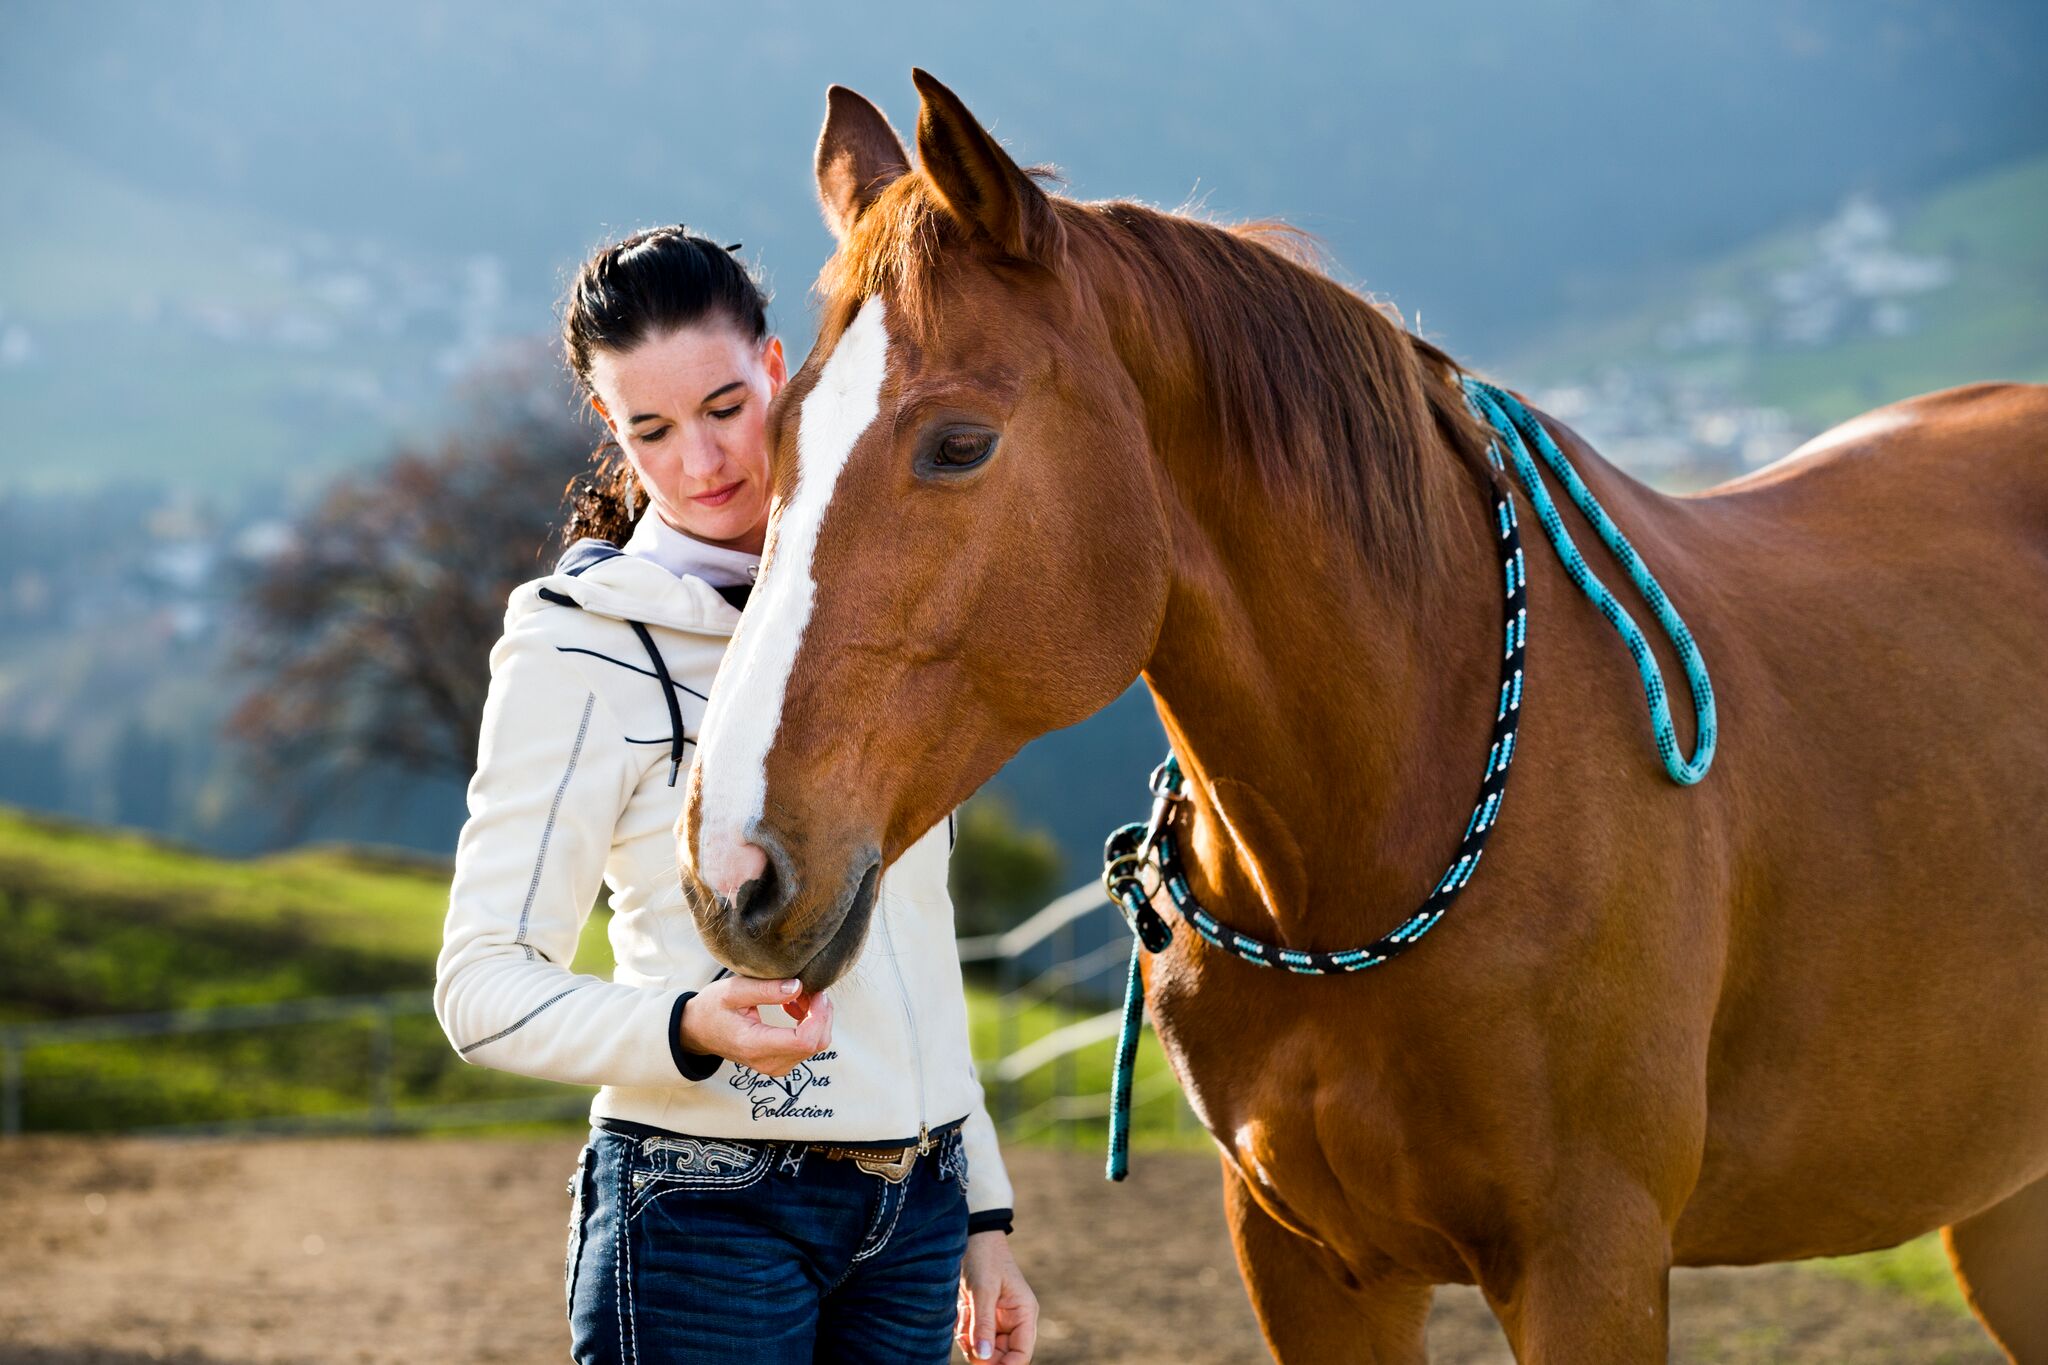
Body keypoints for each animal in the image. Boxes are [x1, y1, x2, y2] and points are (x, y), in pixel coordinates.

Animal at [679, 70, 2048, 1362]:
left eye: (958, 444)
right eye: (772, 434)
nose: (730, 869)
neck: (1383, 811)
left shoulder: (1590, 1259)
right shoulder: (1307, 1262)